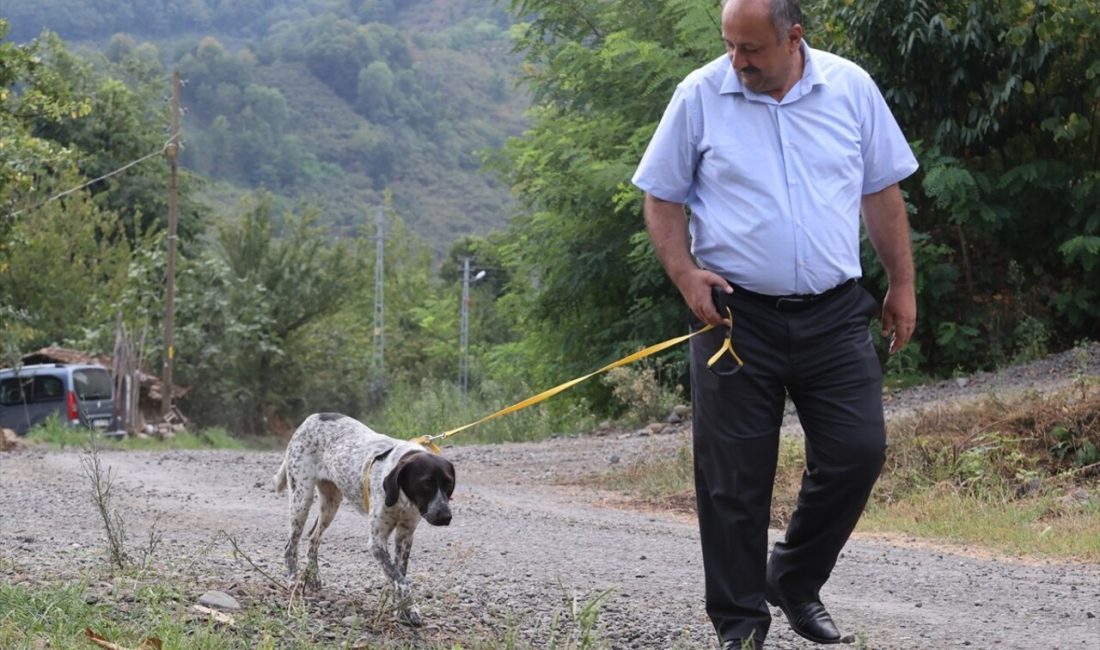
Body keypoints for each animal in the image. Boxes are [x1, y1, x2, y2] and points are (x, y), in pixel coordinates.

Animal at [273, 411, 455, 624]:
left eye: (449, 484)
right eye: (425, 484)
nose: (445, 516)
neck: (403, 501)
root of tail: (312, 417)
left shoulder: (405, 535)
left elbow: (399, 574)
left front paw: (402, 610)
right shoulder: (377, 542)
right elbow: (401, 581)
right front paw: (409, 608)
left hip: (331, 502)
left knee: (313, 538)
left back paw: (314, 577)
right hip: (302, 499)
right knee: (290, 546)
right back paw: (293, 581)